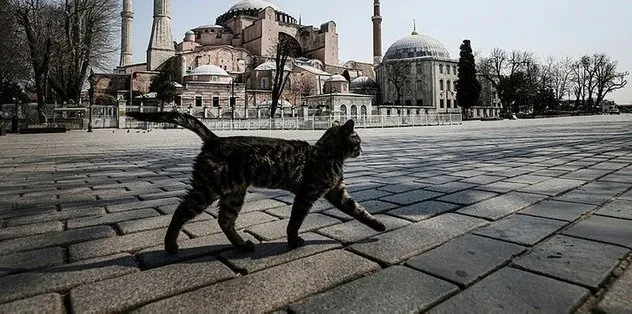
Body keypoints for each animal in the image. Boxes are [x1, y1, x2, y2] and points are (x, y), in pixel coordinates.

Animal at [126, 111, 388, 254]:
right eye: (357, 140)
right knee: (181, 211)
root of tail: (215, 139)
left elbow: (359, 211)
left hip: (234, 193)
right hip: (208, 189)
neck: (328, 154)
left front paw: (377, 226)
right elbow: (295, 221)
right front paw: (293, 241)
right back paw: (170, 245)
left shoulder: (336, 192)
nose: (362, 150)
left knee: (225, 220)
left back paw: (242, 245)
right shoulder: (307, 194)